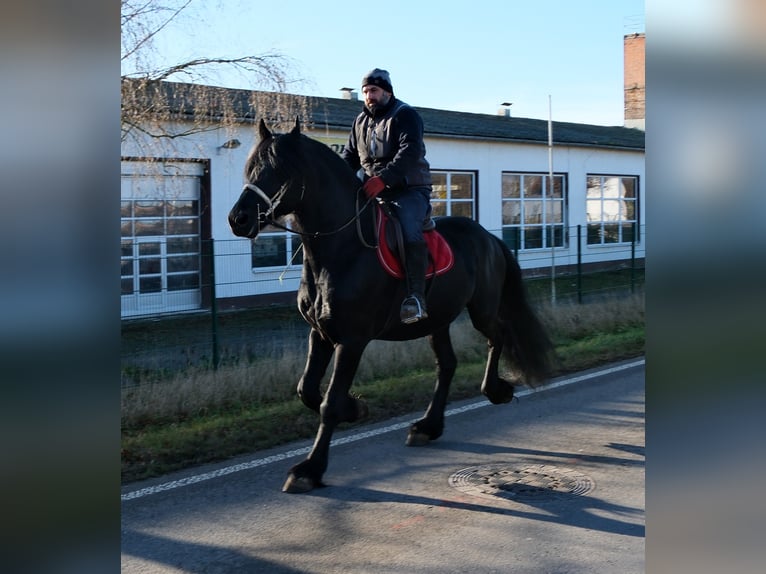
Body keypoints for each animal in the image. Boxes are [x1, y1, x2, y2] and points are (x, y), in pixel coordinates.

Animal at [229, 118, 555, 494]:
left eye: (280, 170)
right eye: (251, 168)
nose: (238, 219)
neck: (342, 250)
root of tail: (489, 237)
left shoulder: (352, 340)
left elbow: (328, 403)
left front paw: (309, 469)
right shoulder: (321, 334)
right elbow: (307, 390)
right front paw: (357, 409)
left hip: (482, 310)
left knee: (496, 337)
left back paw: (496, 390)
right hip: (436, 319)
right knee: (447, 364)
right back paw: (428, 426)